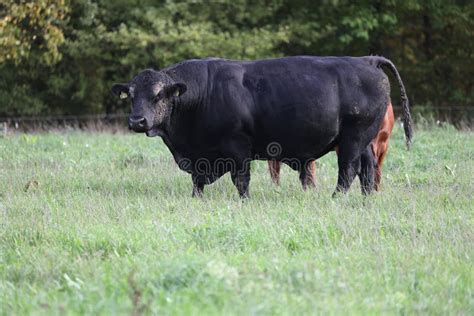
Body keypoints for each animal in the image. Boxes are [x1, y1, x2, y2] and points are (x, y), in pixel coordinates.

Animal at [112, 55, 412, 196]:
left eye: (158, 95)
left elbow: (241, 180)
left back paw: (336, 198)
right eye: (132, 96)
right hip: (364, 141)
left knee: (348, 171)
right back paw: (365, 199)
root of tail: (366, 60)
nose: (137, 121)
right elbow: (197, 182)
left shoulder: (237, 147)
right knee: (368, 169)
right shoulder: (201, 158)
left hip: (352, 140)